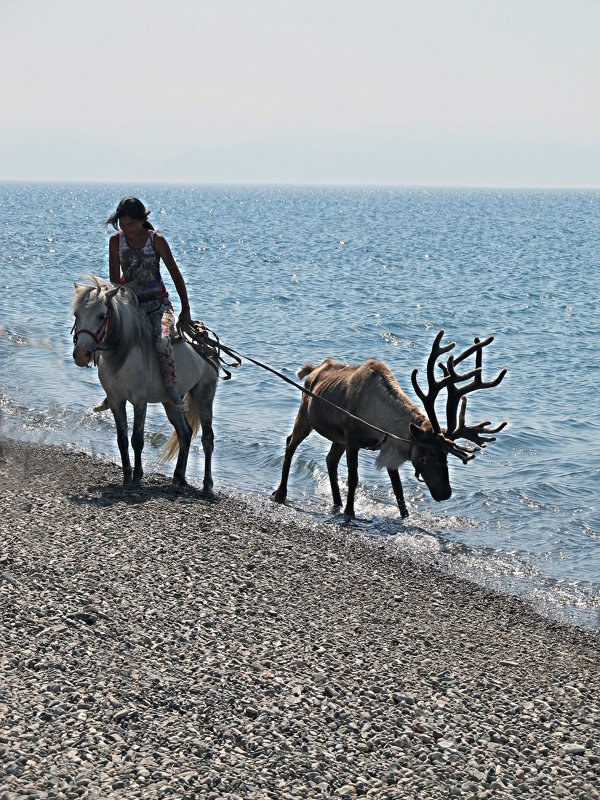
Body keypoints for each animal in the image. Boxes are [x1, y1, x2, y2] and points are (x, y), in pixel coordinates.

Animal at [71, 276, 218, 494]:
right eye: (77, 314)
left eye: (101, 316)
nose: (81, 354)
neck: (123, 353)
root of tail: (206, 340)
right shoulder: (116, 401)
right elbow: (122, 439)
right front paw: (126, 476)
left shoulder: (139, 401)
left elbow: (137, 439)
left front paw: (137, 477)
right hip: (170, 401)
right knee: (185, 433)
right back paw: (178, 477)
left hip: (204, 394)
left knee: (207, 438)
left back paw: (207, 486)